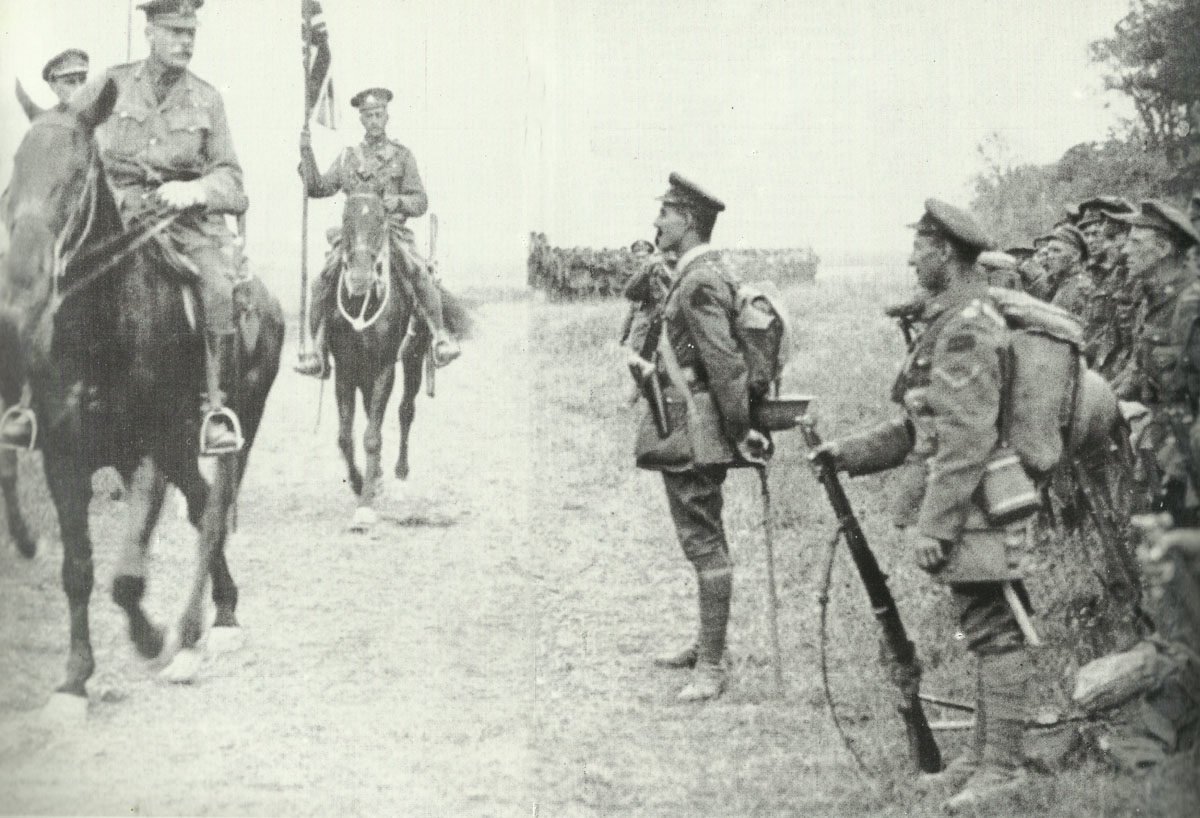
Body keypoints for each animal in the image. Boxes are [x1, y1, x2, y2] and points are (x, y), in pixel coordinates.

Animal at [1, 80, 284, 714]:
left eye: (75, 175)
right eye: (13, 177)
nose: (22, 289)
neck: (102, 330)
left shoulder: (148, 456)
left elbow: (127, 576)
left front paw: (151, 637)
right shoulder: (64, 460)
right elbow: (79, 569)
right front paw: (74, 678)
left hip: (231, 433)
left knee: (212, 516)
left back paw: (199, 632)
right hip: (182, 452)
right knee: (201, 507)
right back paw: (220, 611)